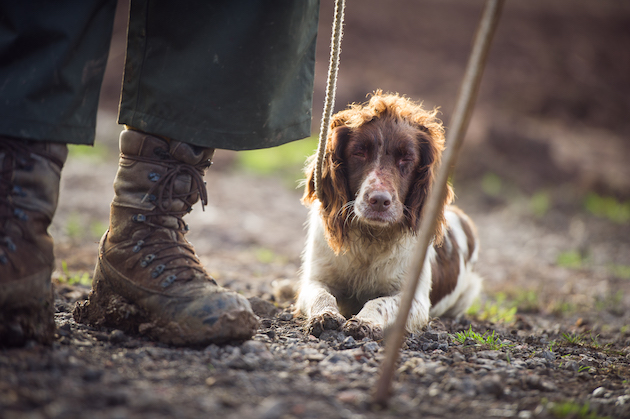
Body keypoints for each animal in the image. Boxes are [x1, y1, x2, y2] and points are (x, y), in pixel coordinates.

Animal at [298, 92, 484, 342]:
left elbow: (379, 302)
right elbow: (321, 294)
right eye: (359, 153)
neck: (371, 238)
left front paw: (364, 322)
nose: (379, 200)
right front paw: (325, 316)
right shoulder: (316, 279)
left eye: (406, 158)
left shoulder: (414, 300)